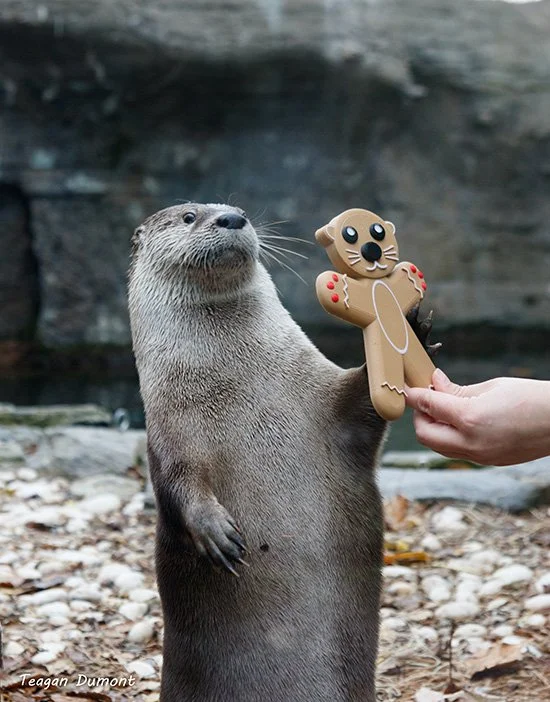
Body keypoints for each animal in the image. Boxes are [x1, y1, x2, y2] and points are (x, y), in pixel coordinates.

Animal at [128, 203, 435, 702]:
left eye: (241, 211)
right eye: (190, 215)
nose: (232, 218)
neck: (243, 387)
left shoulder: (324, 400)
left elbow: (362, 404)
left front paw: (414, 332)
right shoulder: (169, 432)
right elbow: (178, 484)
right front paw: (216, 533)